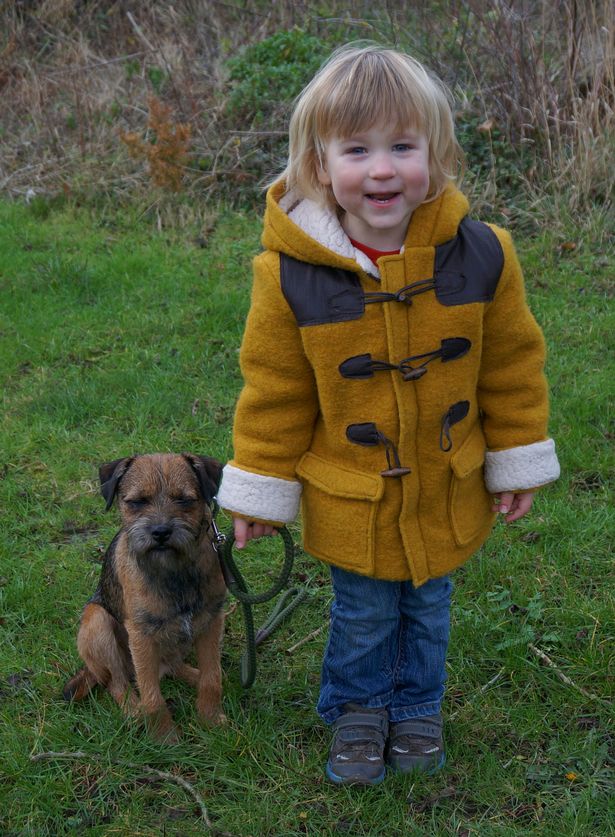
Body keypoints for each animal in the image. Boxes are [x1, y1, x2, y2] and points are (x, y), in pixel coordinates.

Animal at [63, 454, 227, 740]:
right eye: (137, 502)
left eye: (184, 500)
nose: (160, 532)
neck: (175, 570)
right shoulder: (141, 636)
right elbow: (152, 695)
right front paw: (164, 738)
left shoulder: (211, 623)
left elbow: (212, 677)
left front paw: (210, 719)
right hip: (97, 622)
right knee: (118, 683)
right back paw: (135, 714)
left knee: (172, 666)